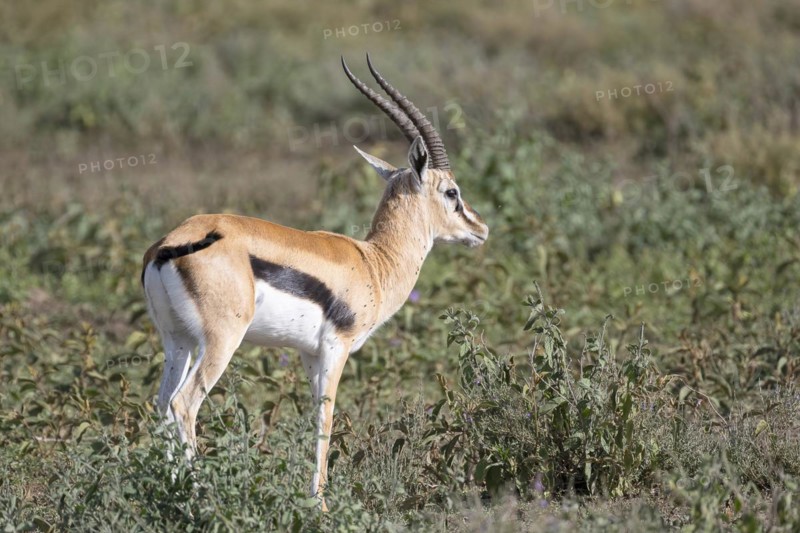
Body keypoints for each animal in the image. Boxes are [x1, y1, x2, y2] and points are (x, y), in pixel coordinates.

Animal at [141, 55, 489, 509]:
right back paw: (200, 497)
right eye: (451, 192)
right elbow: (326, 417)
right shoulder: (336, 348)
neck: (373, 262)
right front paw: (320, 503)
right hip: (221, 342)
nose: (480, 229)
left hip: (177, 341)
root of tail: (169, 244)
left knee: (163, 404)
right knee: (184, 404)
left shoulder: (307, 354)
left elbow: (310, 418)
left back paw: (169, 491)